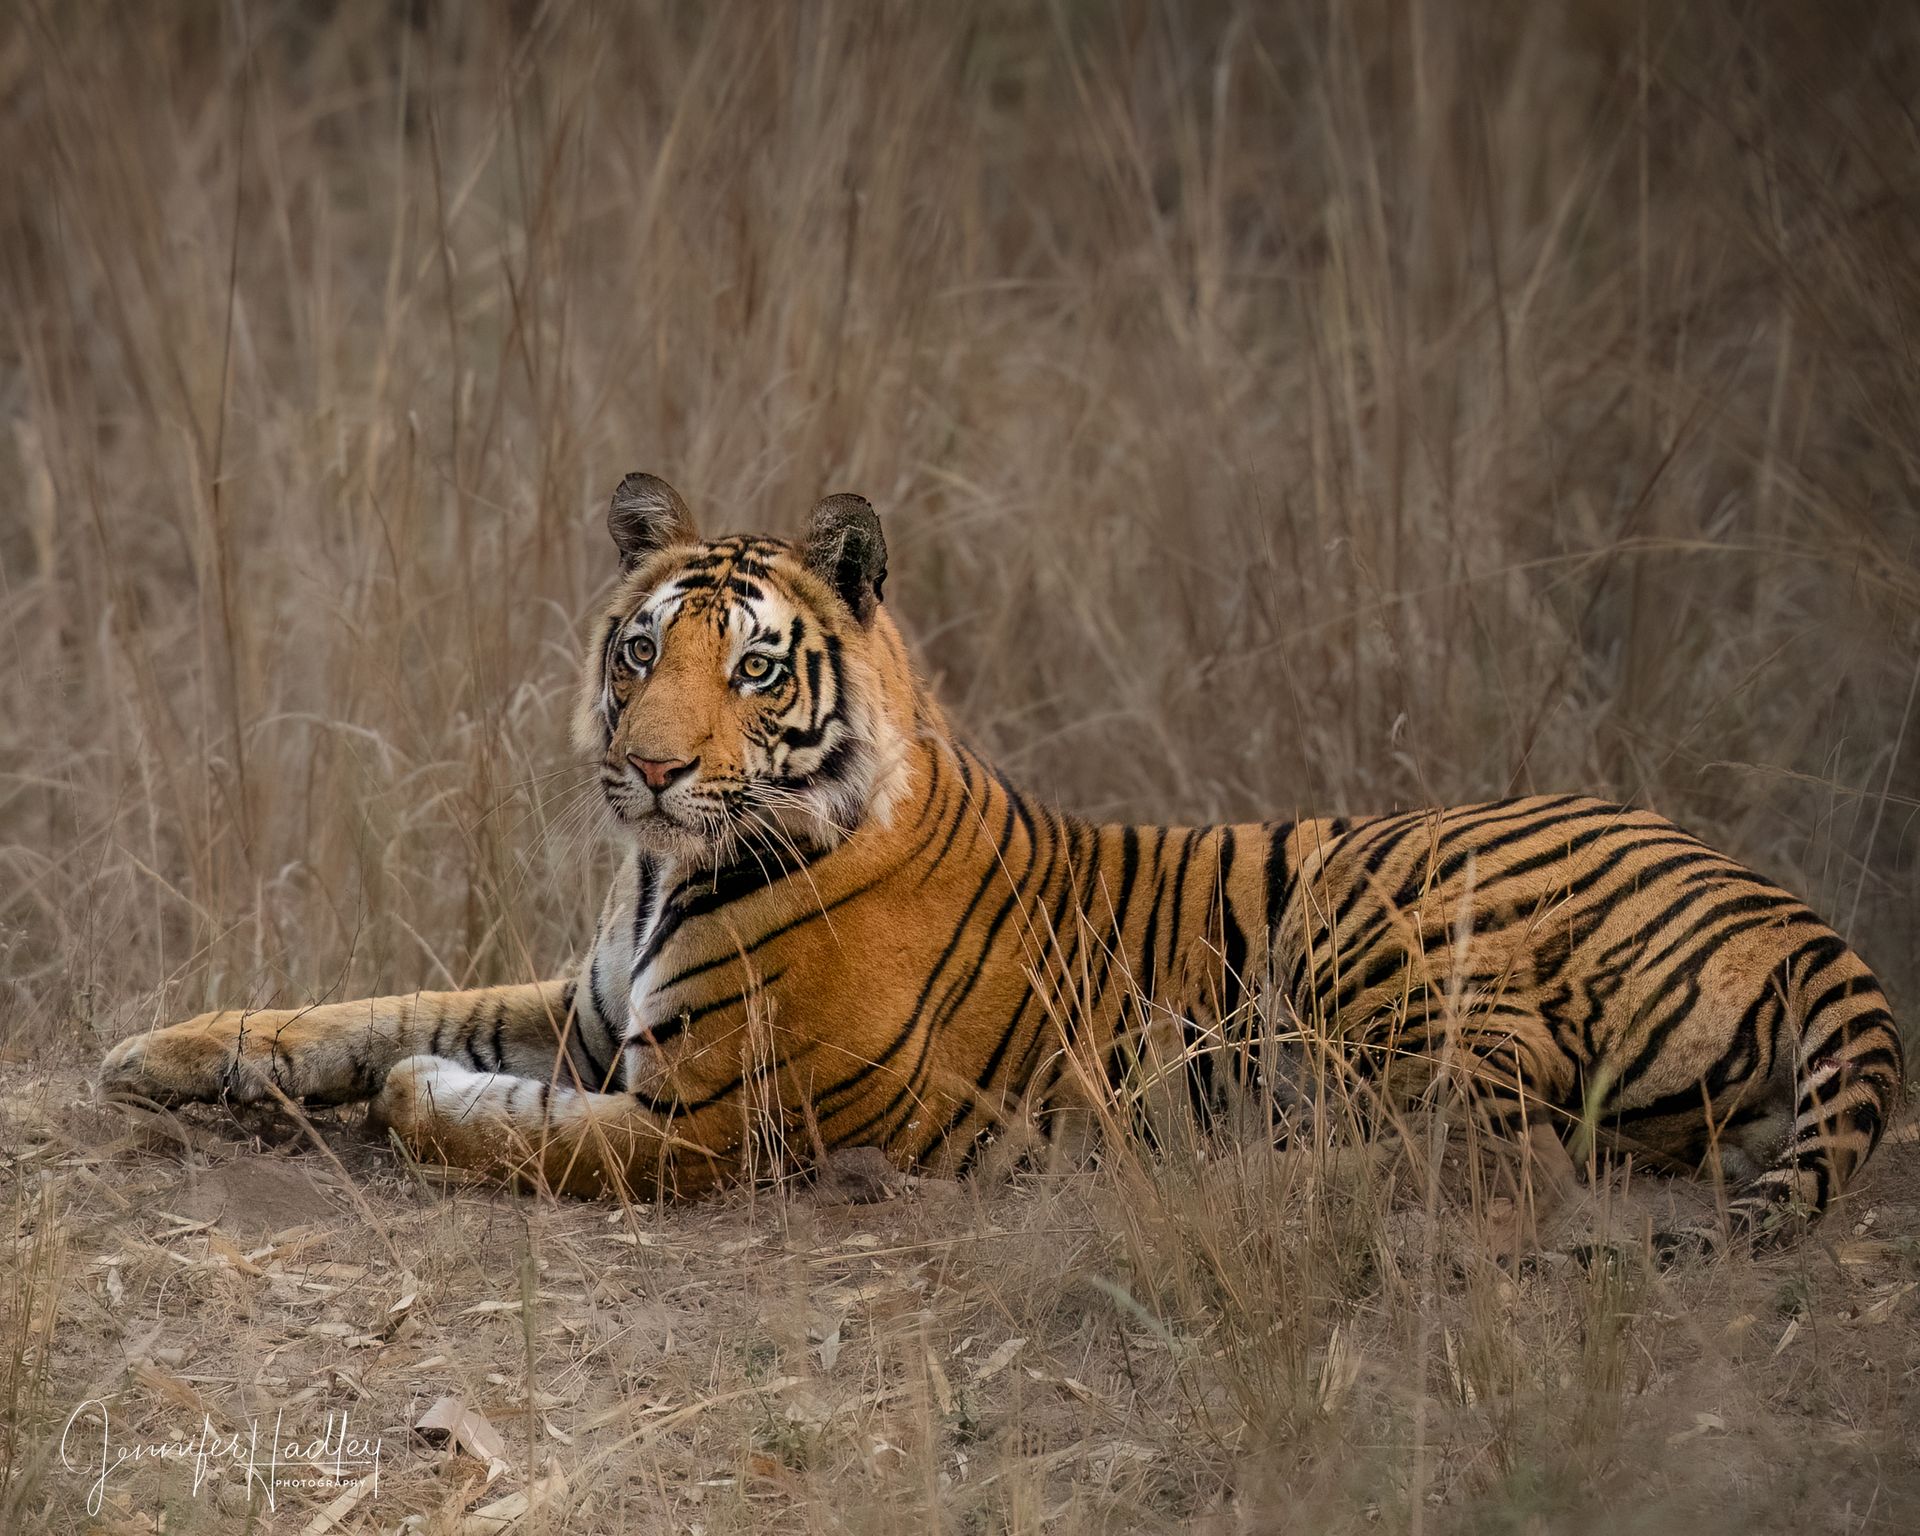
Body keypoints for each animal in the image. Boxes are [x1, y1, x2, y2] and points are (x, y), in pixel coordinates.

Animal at [99, 472, 1905, 1249]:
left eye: (753, 669)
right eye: (639, 649)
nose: (650, 766)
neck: (657, 874)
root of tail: (1798, 910)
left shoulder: (711, 1122)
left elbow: (477, 1115)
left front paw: (423, 1098)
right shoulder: (588, 1002)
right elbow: (365, 1007)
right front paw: (152, 1055)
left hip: (1370, 916)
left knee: (1488, 1158)